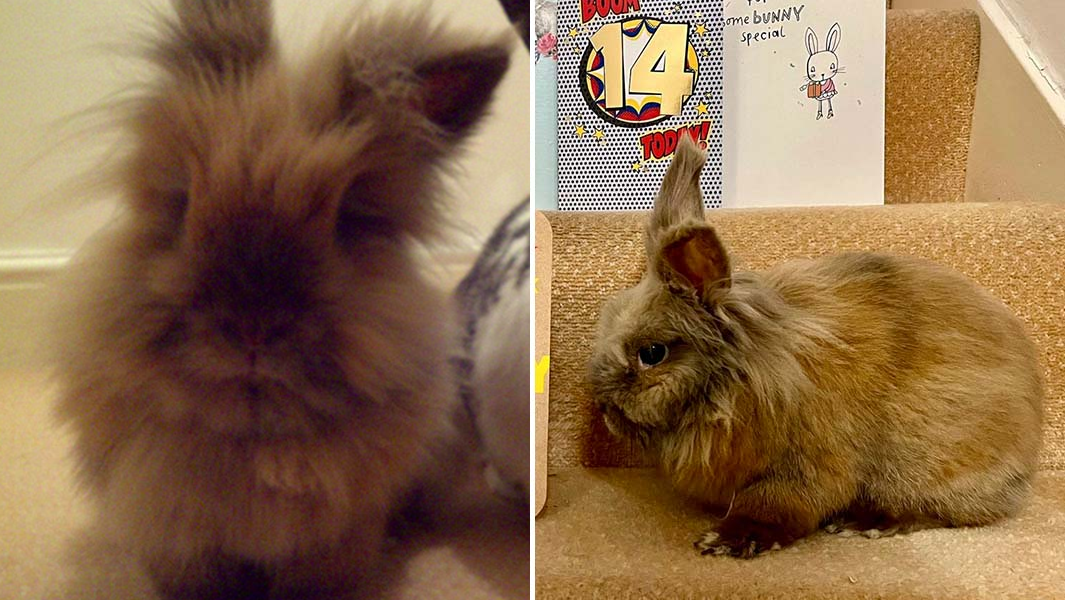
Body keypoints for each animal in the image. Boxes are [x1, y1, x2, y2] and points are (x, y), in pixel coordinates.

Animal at [50, 0, 510, 597]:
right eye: (182, 200)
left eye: (348, 221)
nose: (252, 329)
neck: (256, 439)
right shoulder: (178, 536)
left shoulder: (336, 538)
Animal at [587, 135, 1044, 559]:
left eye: (651, 354)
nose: (603, 407)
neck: (742, 380)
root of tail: (1026, 463)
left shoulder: (806, 466)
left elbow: (773, 506)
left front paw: (726, 541)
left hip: (927, 466)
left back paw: (864, 523)